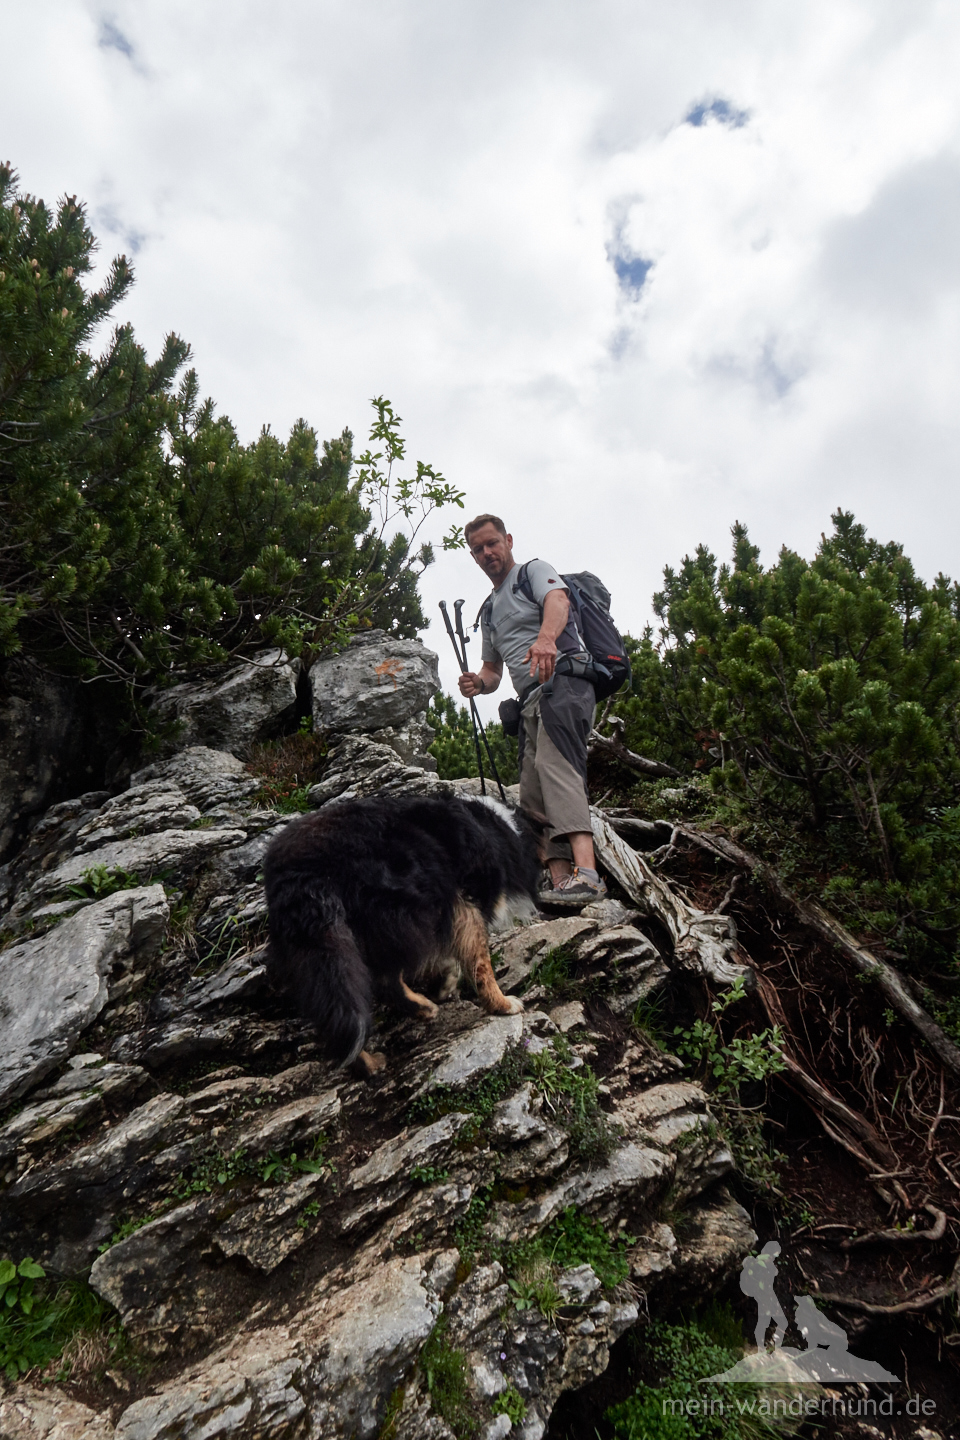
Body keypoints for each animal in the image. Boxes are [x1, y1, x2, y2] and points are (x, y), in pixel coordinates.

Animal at [263, 794, 544, 1077]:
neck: (500, 829)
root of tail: (300, 872)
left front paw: (446, 984)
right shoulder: (465, 904)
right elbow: (480, 964)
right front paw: (503, 1004)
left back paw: (373, 1059)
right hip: (397, 913)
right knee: (385, 983)